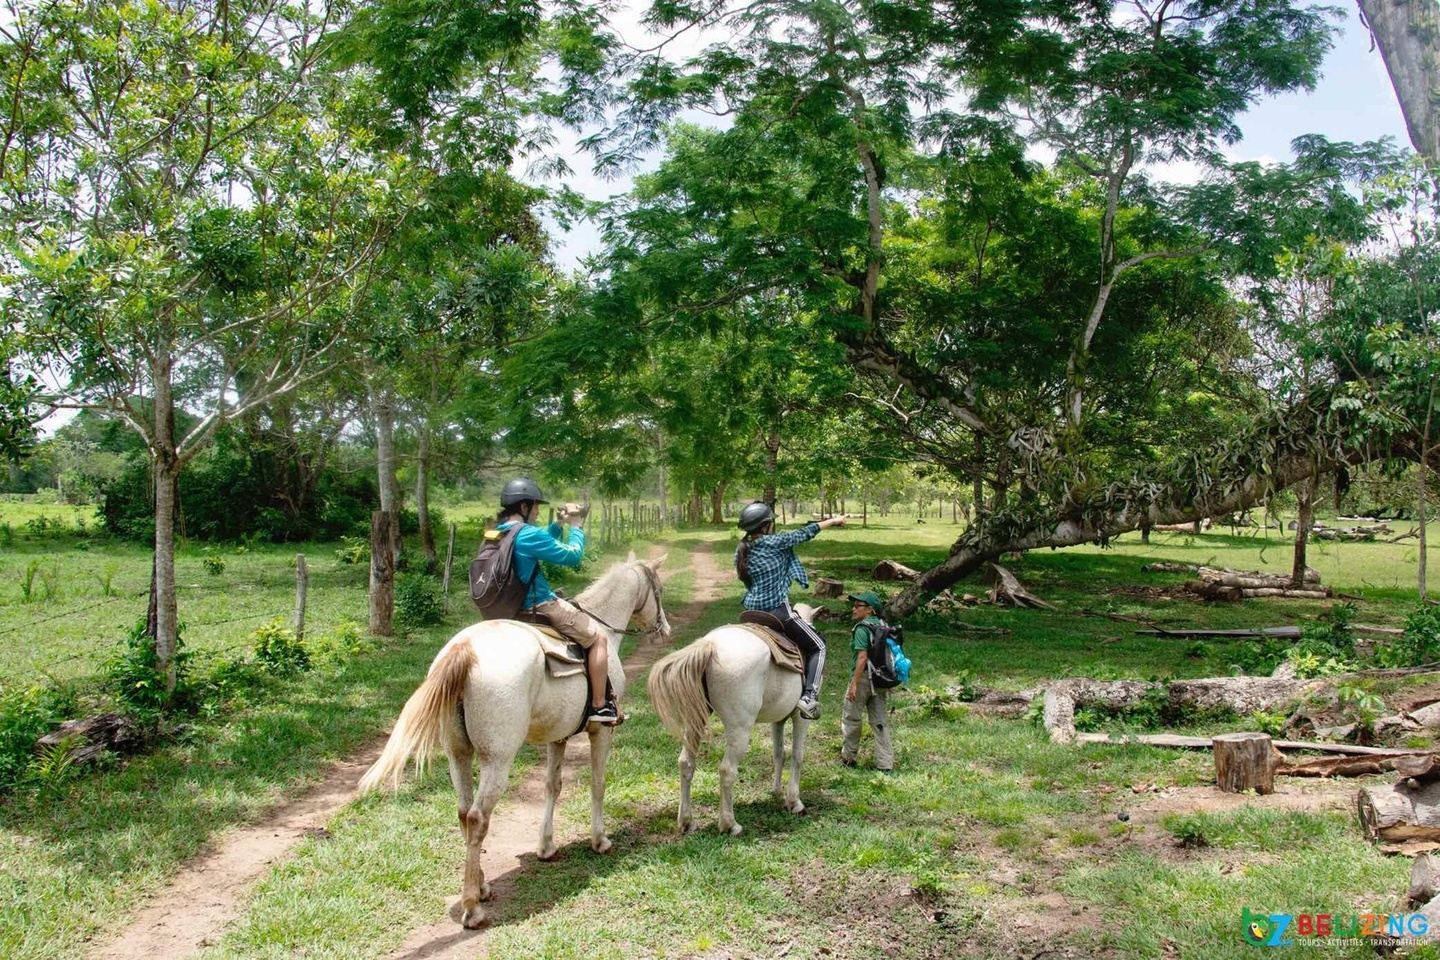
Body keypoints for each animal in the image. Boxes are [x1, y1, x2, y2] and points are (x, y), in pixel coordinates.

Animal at [360, 552, 673, 926]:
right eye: (658, 590)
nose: (665, 630)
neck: (604, 632)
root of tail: (464, 650)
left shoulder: (558, 736)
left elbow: (553, 786)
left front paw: (546, 847)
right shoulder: (602, 732)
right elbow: (598, 784)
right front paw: (600, 840)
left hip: (457, 755)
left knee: (464, 812)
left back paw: (480, 886)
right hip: (497, 760)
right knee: (478, 817)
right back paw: (472, 908)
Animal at [648, 604, 817, 834]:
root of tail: (710, 644)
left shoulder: (778, 720)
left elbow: (779, 754)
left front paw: (776, 792)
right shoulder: (801, 717)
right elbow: (797, 755)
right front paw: (794, 802)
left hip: (695, 722)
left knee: (686, 763)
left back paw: (687, 822)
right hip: (740, 730)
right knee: (727, 770)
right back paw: (730, 825)